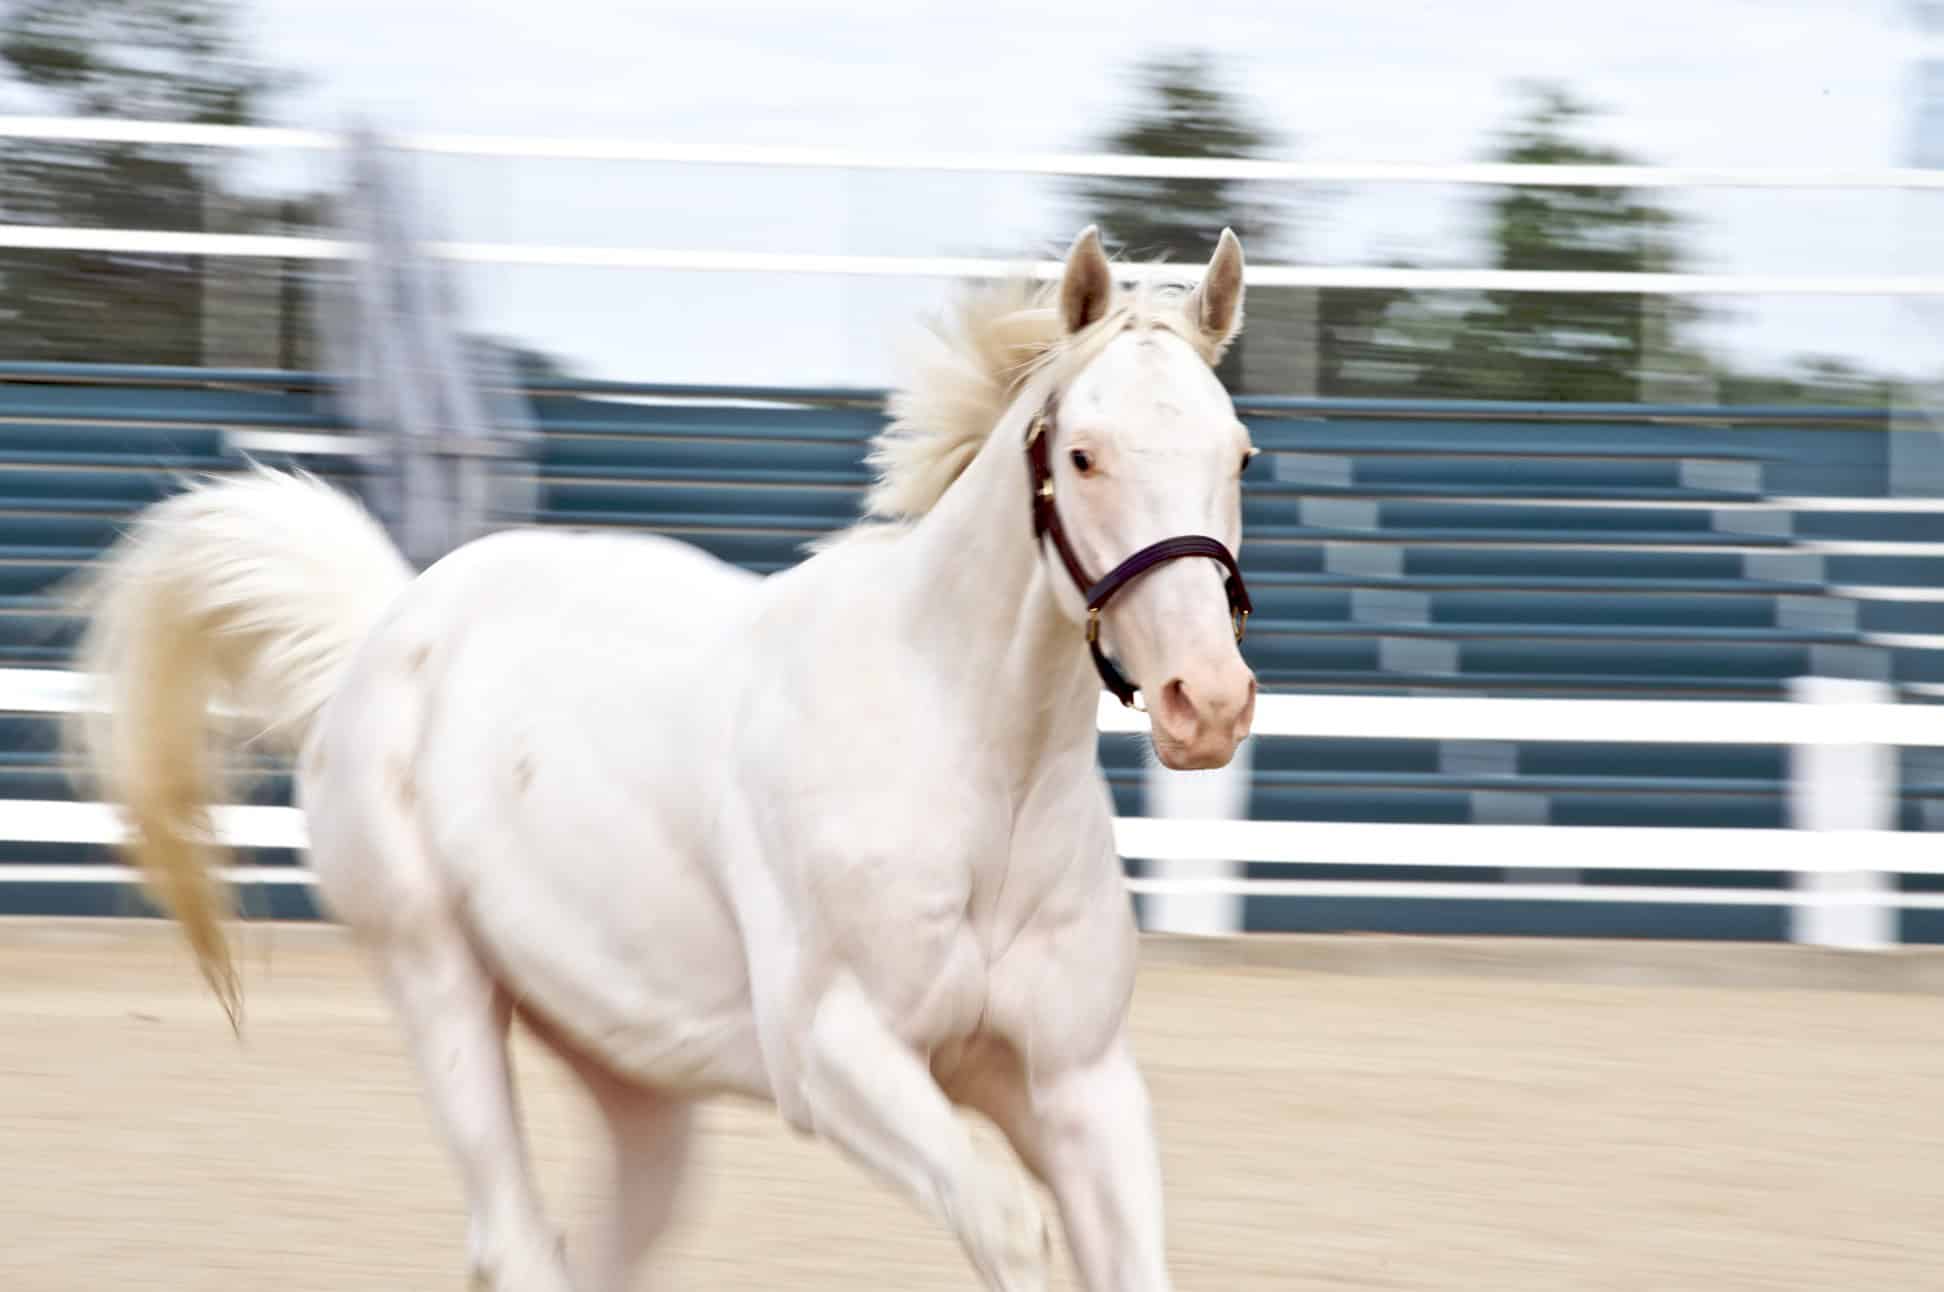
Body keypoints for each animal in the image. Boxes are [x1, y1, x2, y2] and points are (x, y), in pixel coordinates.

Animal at [68, 226, 1259, 1282]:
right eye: (1084, 455)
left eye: (1238, 452)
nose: (1208, 702)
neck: (975, 776)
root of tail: (388, 627)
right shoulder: (836, 1056)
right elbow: (1008, 1223)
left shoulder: (1077, 1083)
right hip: (438, 983)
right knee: (514, 1240)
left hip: (630, 1065)